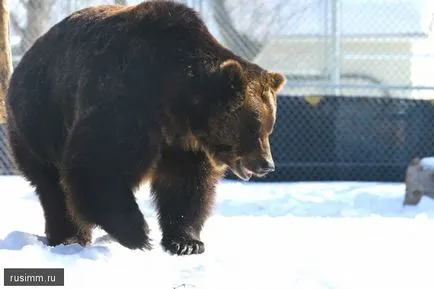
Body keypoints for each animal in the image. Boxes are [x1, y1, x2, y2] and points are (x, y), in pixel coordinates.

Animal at [5, 0, 286, 254]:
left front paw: (187, 242)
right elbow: (97, 164)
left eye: (269, 127)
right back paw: (70, 237)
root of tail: (23, 61)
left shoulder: (184, 143)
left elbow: (186, 186)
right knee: (53, 185)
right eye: (253, 127)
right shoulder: (126, 101)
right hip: (39, 119)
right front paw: (138, 234)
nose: (267, 164)